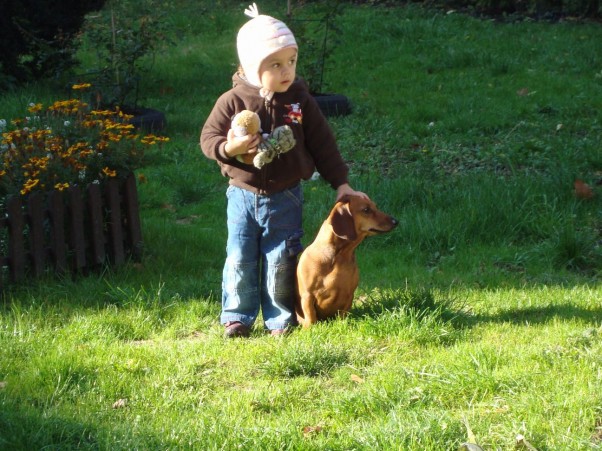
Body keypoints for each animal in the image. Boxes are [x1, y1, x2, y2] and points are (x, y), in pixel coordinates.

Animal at [294, 196, 396, 326]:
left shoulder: (348, 295)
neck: (338, 256)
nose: (395, 221)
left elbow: (343, 314)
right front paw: (310, 328)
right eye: (366, 209)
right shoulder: (307, 295)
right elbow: (311, 316)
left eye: (375, 206)